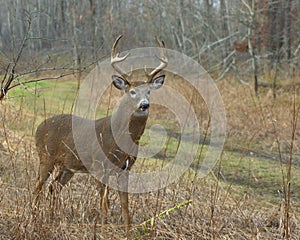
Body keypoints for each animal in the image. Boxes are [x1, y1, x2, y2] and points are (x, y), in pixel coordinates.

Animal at [33, 34, 169, 233]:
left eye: (149, 91)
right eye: (132, 91)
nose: (144, 105)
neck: (118, 138)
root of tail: (39, 127)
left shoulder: (125, 169)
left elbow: (124, 205)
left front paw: (127, 232)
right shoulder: (98, 166)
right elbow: (104, 204)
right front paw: (103, 231)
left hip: (68, 166)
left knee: (54, 187)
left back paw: (51, 219)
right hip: (46, 157)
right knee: (38, 186)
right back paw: (33, 218)